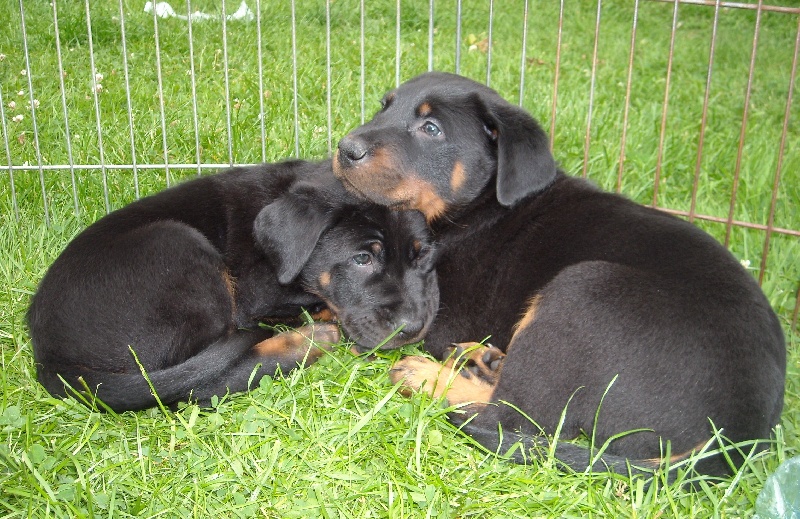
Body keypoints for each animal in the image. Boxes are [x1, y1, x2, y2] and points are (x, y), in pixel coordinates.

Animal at [28, 160, 438, 412]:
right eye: (362, 259)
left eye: (422, 256)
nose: (414, 328)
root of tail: (50, 359)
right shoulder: (257, 292)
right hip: (181, 250)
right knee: (199, 384)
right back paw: (308, 342)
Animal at [332, 73, 788, 480]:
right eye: (384, 107)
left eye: (431, 129)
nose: (345, 148)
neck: (481, 208)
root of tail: (735, 443)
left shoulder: (439, 313)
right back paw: (483, 359)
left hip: (584, 289)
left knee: (513, 416)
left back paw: (425, 375)